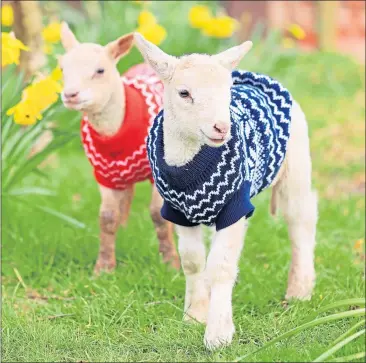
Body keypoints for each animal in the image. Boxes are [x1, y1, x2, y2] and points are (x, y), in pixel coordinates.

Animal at [58, 23, 180, 276]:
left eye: (100, 70)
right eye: (62, 68)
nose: (70, 94)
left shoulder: (158, 172)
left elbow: (158, 215)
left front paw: (170, 265)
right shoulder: (104, 174)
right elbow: (106, 217)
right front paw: (104, 268)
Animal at [134, 32, 318, 352]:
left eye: (226, 93)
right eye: (184, 93)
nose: (222, 127)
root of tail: (259, 76)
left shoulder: (235, 207)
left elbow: (220, 266)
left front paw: (218, 333)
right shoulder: (178, 211)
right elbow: (193, 261)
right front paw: (195, 314)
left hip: (296, 163)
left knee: (301, 221)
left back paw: (299, 289)